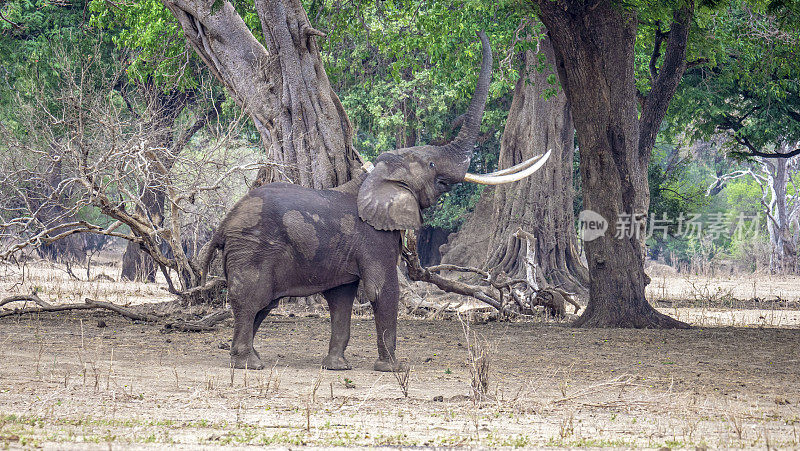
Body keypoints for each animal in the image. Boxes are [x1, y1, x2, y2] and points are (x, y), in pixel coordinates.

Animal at [202, 30, 552, 370]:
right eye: (431, 165)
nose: (478, 32)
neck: (374, 176)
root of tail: (223, 225)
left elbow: (342, 297)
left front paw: (337, 367)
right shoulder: (374, 237)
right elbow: (383, 289)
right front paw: (393, 369)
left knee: (264, 304)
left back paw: (251, 358)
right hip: (253, 248)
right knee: (252, 300)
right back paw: (248, 364)